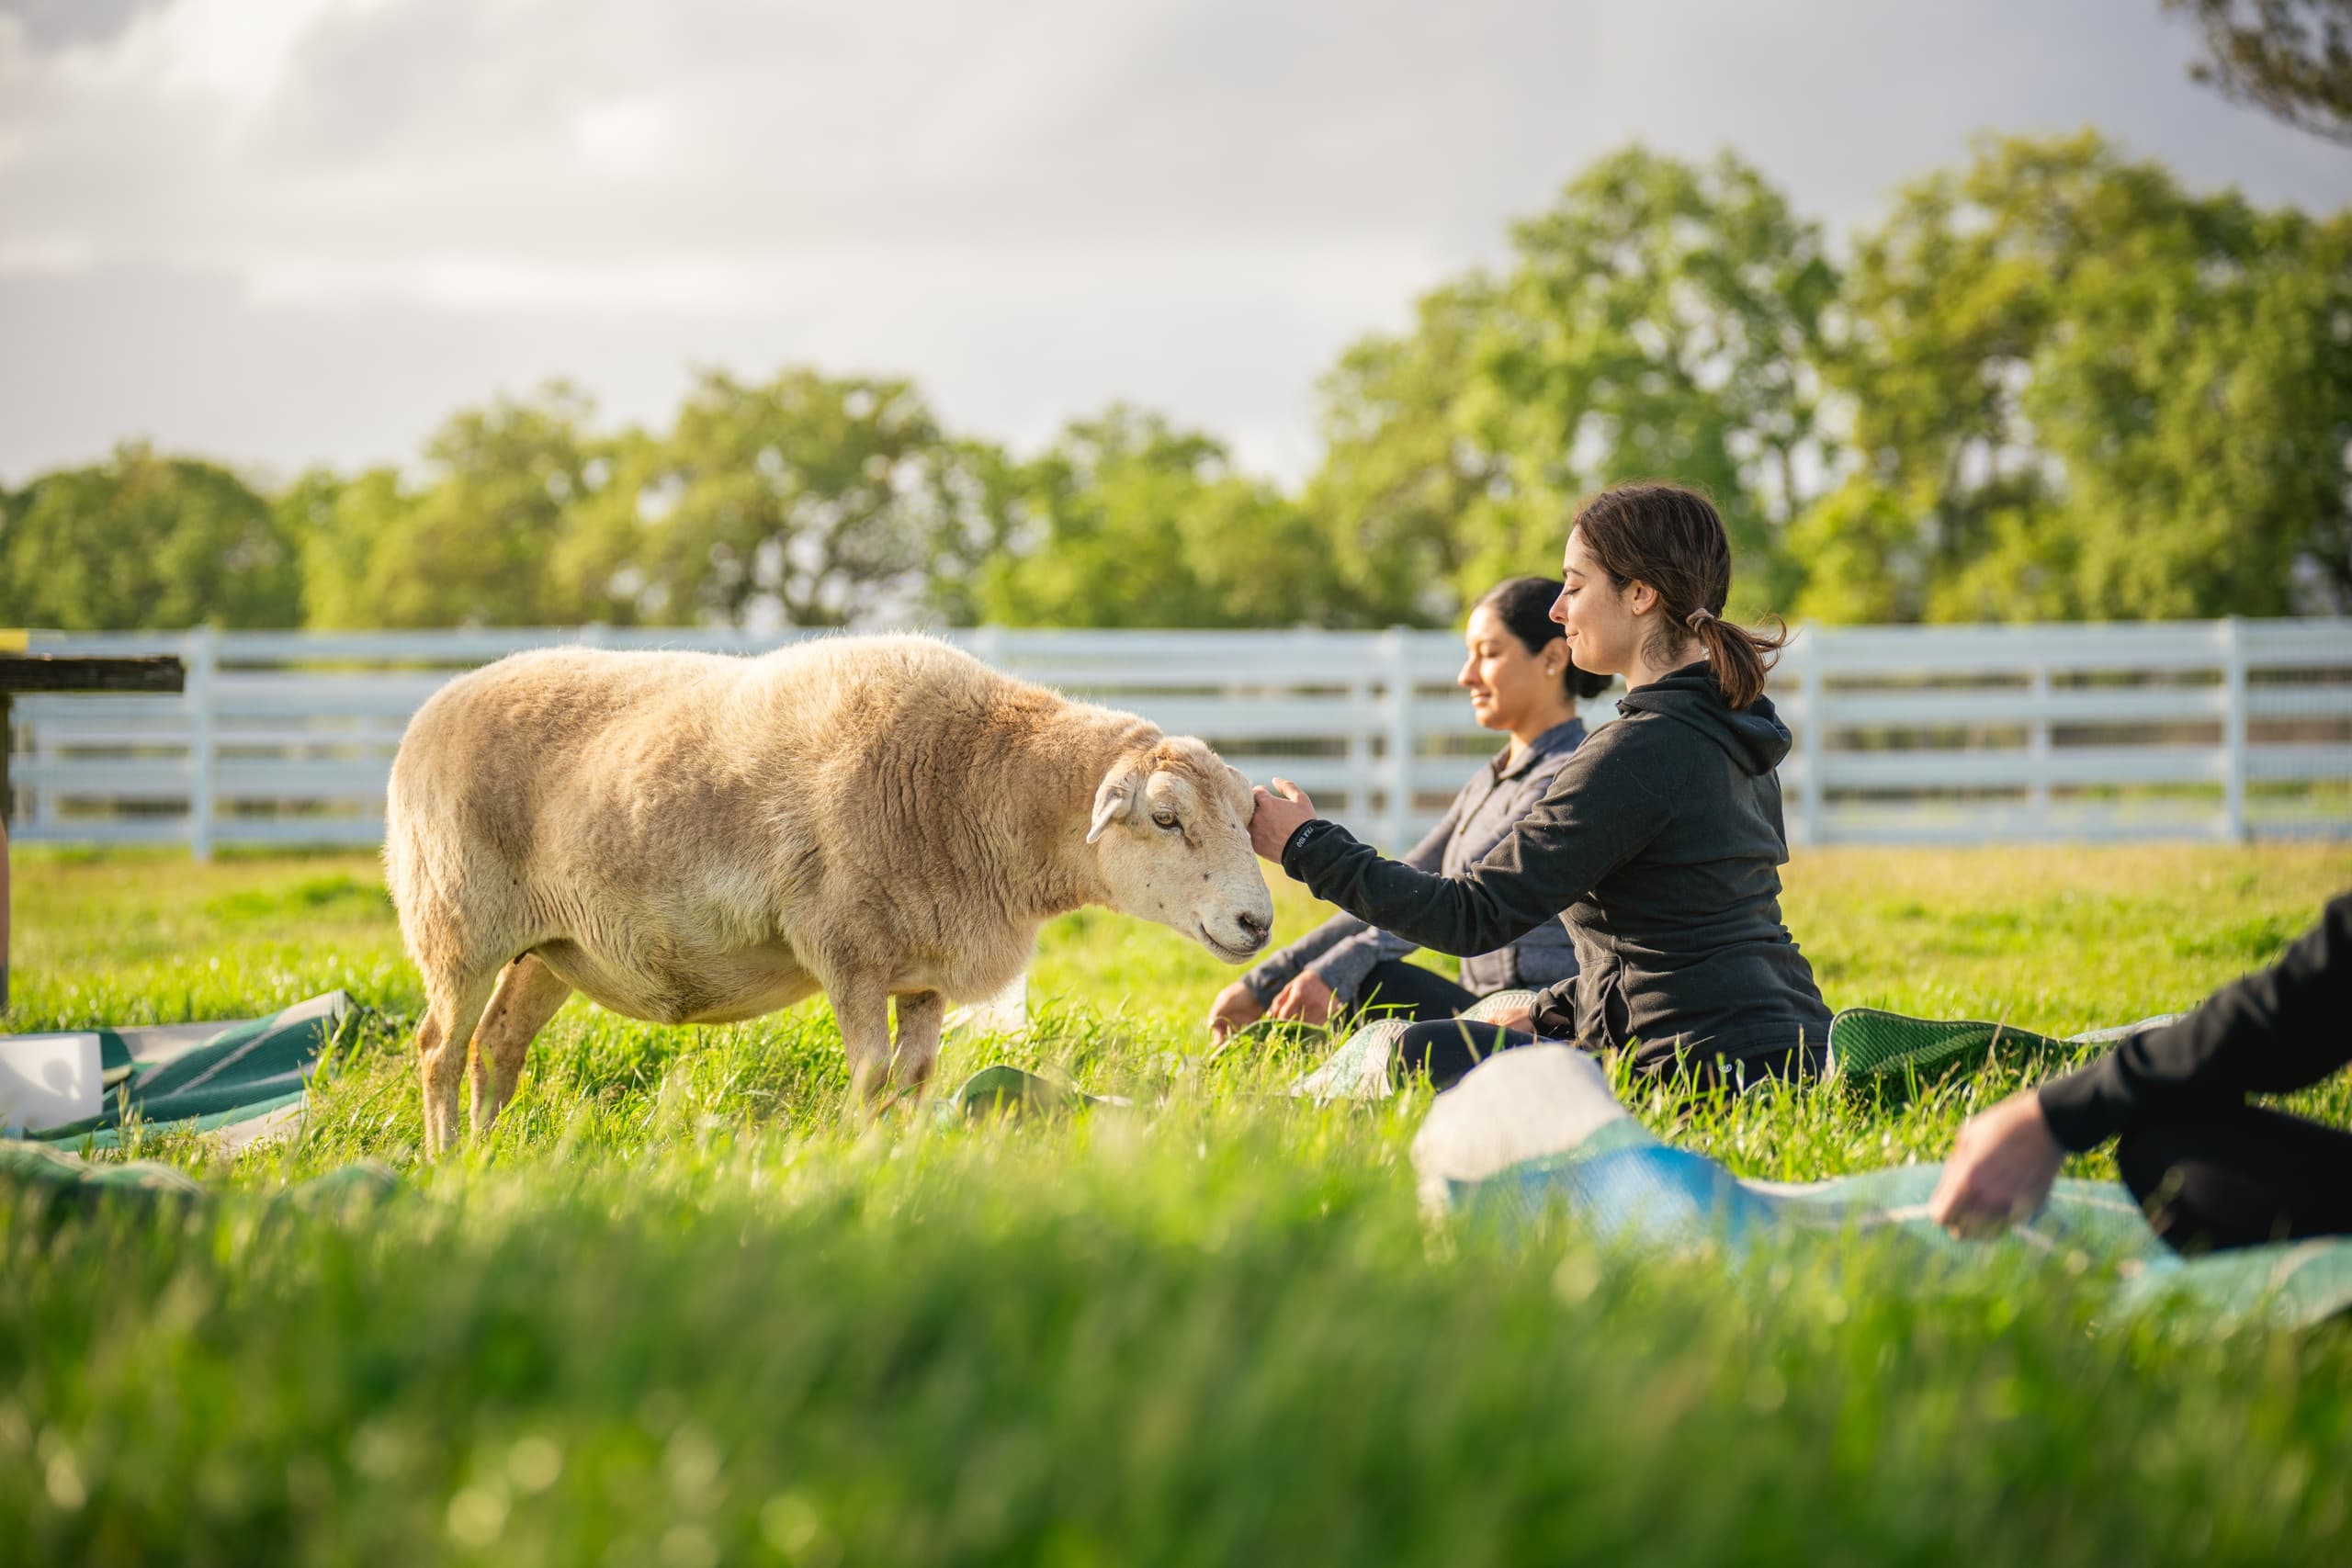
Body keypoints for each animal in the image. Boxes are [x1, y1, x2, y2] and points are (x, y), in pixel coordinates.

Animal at [382, 633, 1276, 1156]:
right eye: (1166, 817)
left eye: (1245, 817)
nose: (1256, 920)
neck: (979, 780)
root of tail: (434, 707)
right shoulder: (847, 947)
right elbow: (873, 1073)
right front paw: (856, 1154)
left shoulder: (923, 964)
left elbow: (917, 1075)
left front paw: (905, 1155)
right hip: (456, 922)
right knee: (438, 1046)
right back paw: (446, 1159)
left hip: (553, 946)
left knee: (498, 1044)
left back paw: (495, 1153)